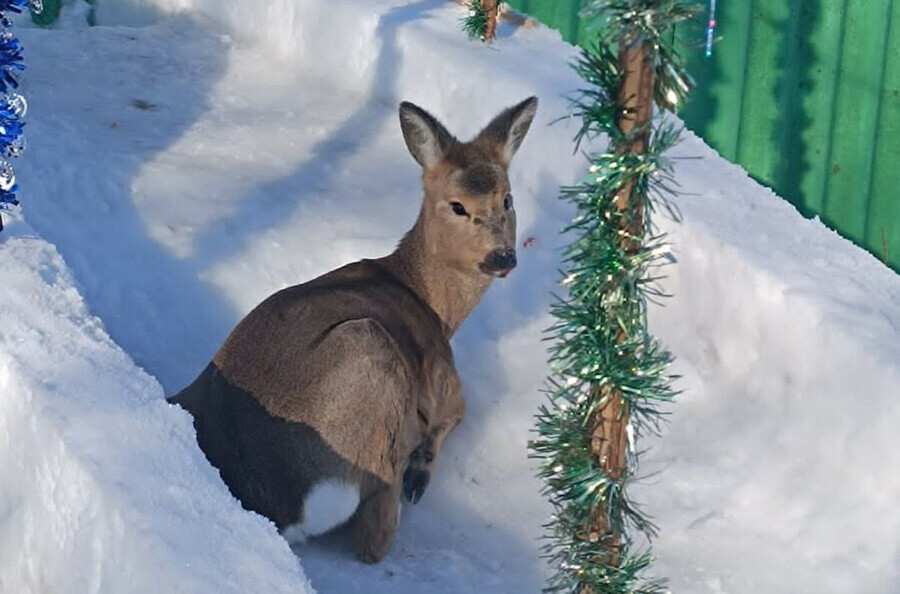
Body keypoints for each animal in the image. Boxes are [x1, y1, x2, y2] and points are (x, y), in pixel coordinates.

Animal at [167, 95, 536, 560]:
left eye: (507, 199)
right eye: (457, 205)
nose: (503, 257)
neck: (429, 300)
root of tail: (270, 501)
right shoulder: (443, 379)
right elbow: (455, 413)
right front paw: (422, 463)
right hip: (369, 351)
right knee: (374, 537)